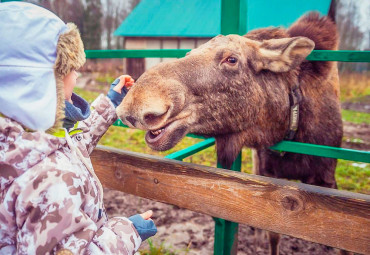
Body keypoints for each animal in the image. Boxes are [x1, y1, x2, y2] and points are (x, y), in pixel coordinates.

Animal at [116, 12, 344, 255]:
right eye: (189, 52)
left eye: (231, 59)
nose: (134, 101)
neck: (291, 125)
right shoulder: (269, 172)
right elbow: (273, 233)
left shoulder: (325, 178)